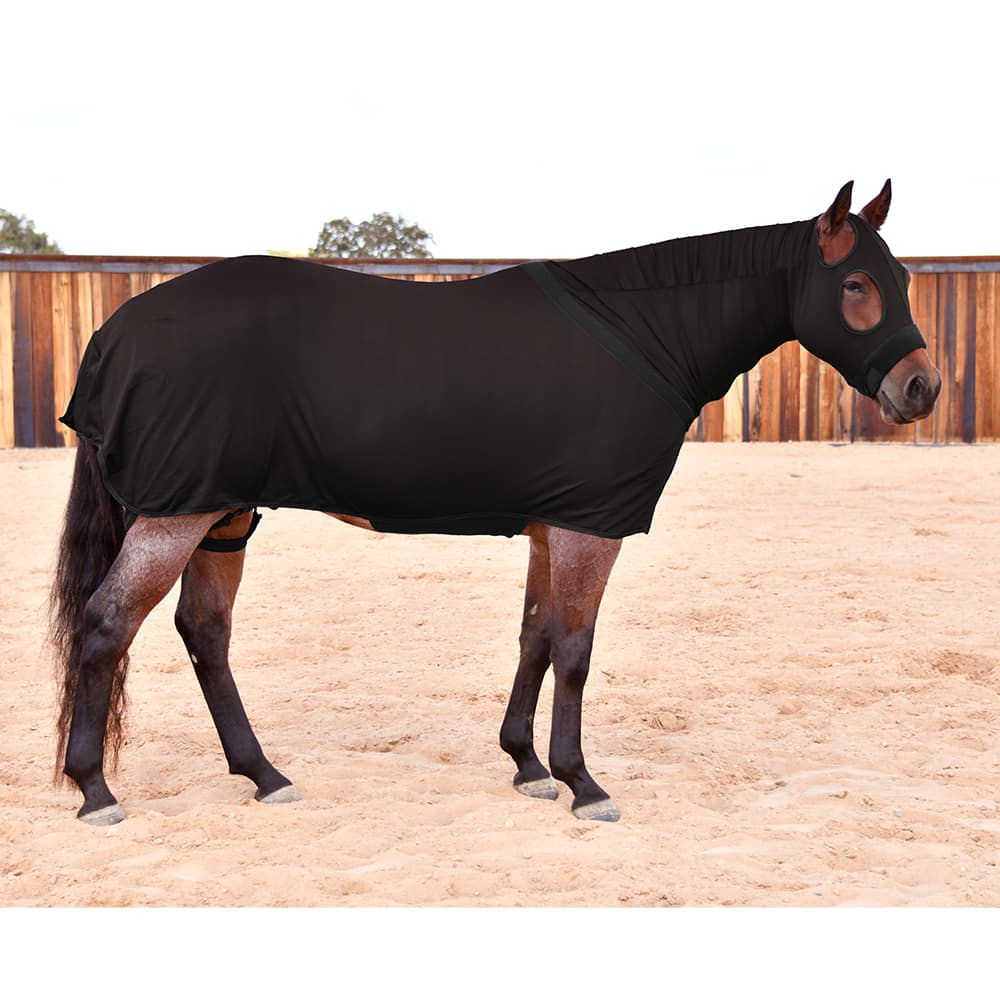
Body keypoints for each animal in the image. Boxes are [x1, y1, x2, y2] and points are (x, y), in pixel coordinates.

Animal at [50, 180, 941, 826]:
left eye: (901, 278)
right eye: (855, 282)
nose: (922, 389)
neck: (645, 329)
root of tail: (117, 332)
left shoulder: (552, 526)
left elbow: (536, 640)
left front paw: (528, 765)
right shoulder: (588, 529)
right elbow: (575, 652)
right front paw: (584, 784)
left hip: (224, 516)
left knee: (205, 633)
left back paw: (264, 774)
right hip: (180, 513)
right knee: (107, 625)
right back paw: (95, 790)